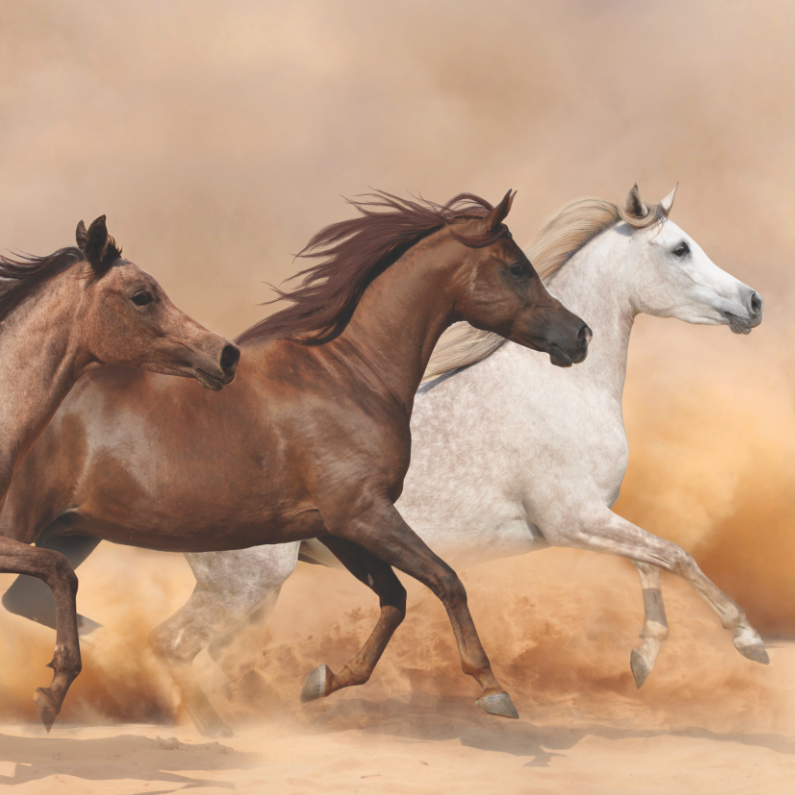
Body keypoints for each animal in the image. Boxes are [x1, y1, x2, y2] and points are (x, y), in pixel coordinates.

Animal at [42, 183, 765, 739]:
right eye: (679, 248)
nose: (754, 302)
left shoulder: (590, 518)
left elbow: (650, 562)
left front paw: (643, 660)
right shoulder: (571, 519)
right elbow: (674, 555)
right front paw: (748, 642)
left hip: (250, 591)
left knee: (189, 649)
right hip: (247, 584)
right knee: (178, 644)